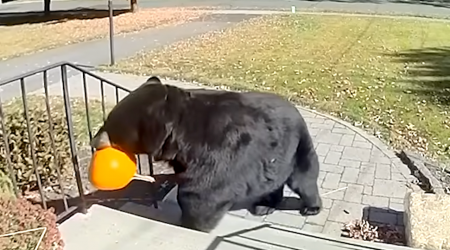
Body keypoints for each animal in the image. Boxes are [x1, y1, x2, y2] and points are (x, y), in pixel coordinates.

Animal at [90, 76, 324, 232]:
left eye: (111, 125)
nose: (93, 141)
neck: (178, 136)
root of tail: (296, 109)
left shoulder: (218, 147)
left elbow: (203, 191)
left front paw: (191, 223)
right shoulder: (182, 158)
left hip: (297, 145)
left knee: (303, 179)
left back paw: (311, 207)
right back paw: (264, 205)